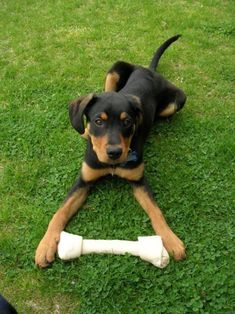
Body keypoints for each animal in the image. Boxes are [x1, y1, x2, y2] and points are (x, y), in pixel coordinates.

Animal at [35, 34, 187, 266]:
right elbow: (60, 211)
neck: (112, 166)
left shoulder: (138, 181)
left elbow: (156, 211)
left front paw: (171, 240)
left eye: (128, 122)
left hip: (178, 100)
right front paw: (45, 245)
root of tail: (150, 70)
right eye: (99, 121)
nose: (114, 153)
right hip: (115, 69)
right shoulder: (84, 180)